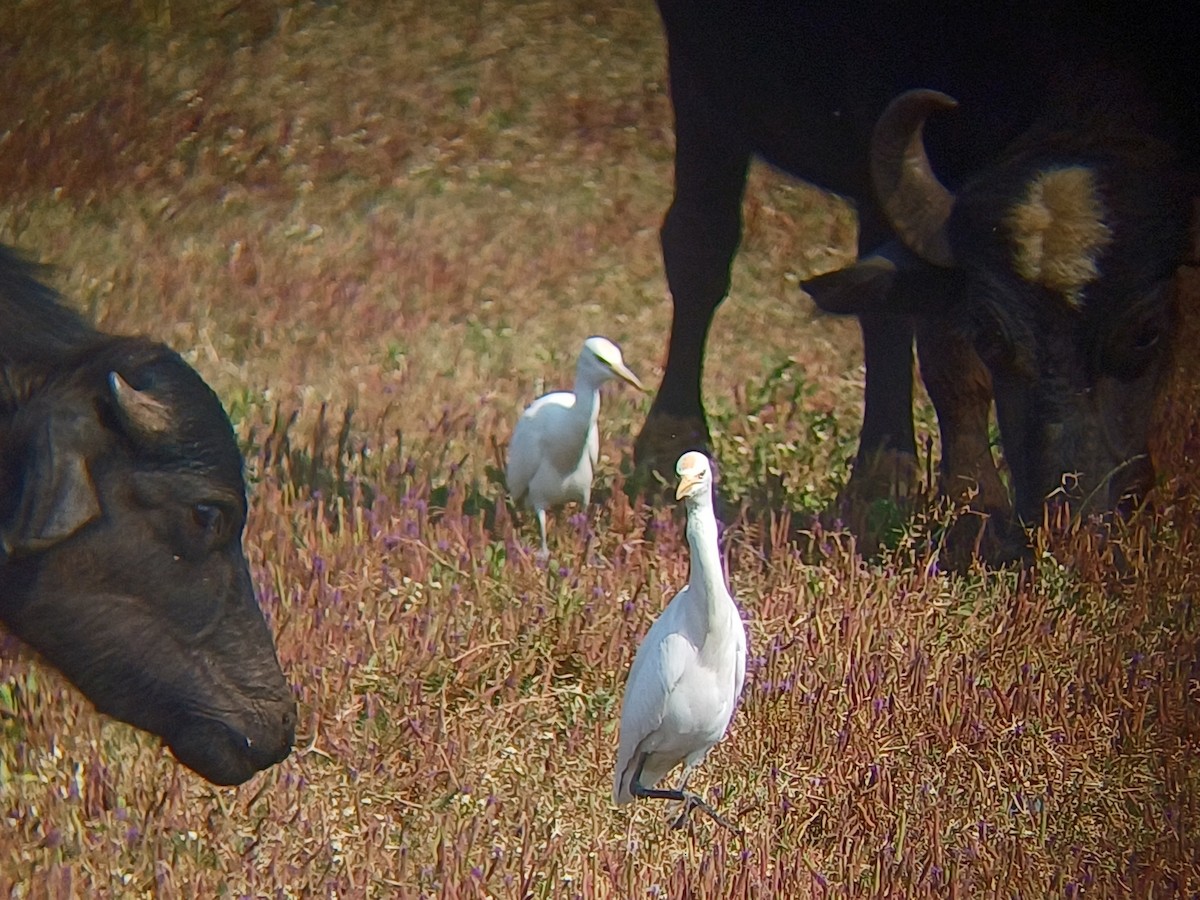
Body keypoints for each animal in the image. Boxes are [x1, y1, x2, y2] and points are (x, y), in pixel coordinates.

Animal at [634, 1, 1199, 550]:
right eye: (991, 336)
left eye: (1147, 335)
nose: (1068, 517)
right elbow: (944, 353)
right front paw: (975, 510)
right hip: (704, 82)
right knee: (701, 247)